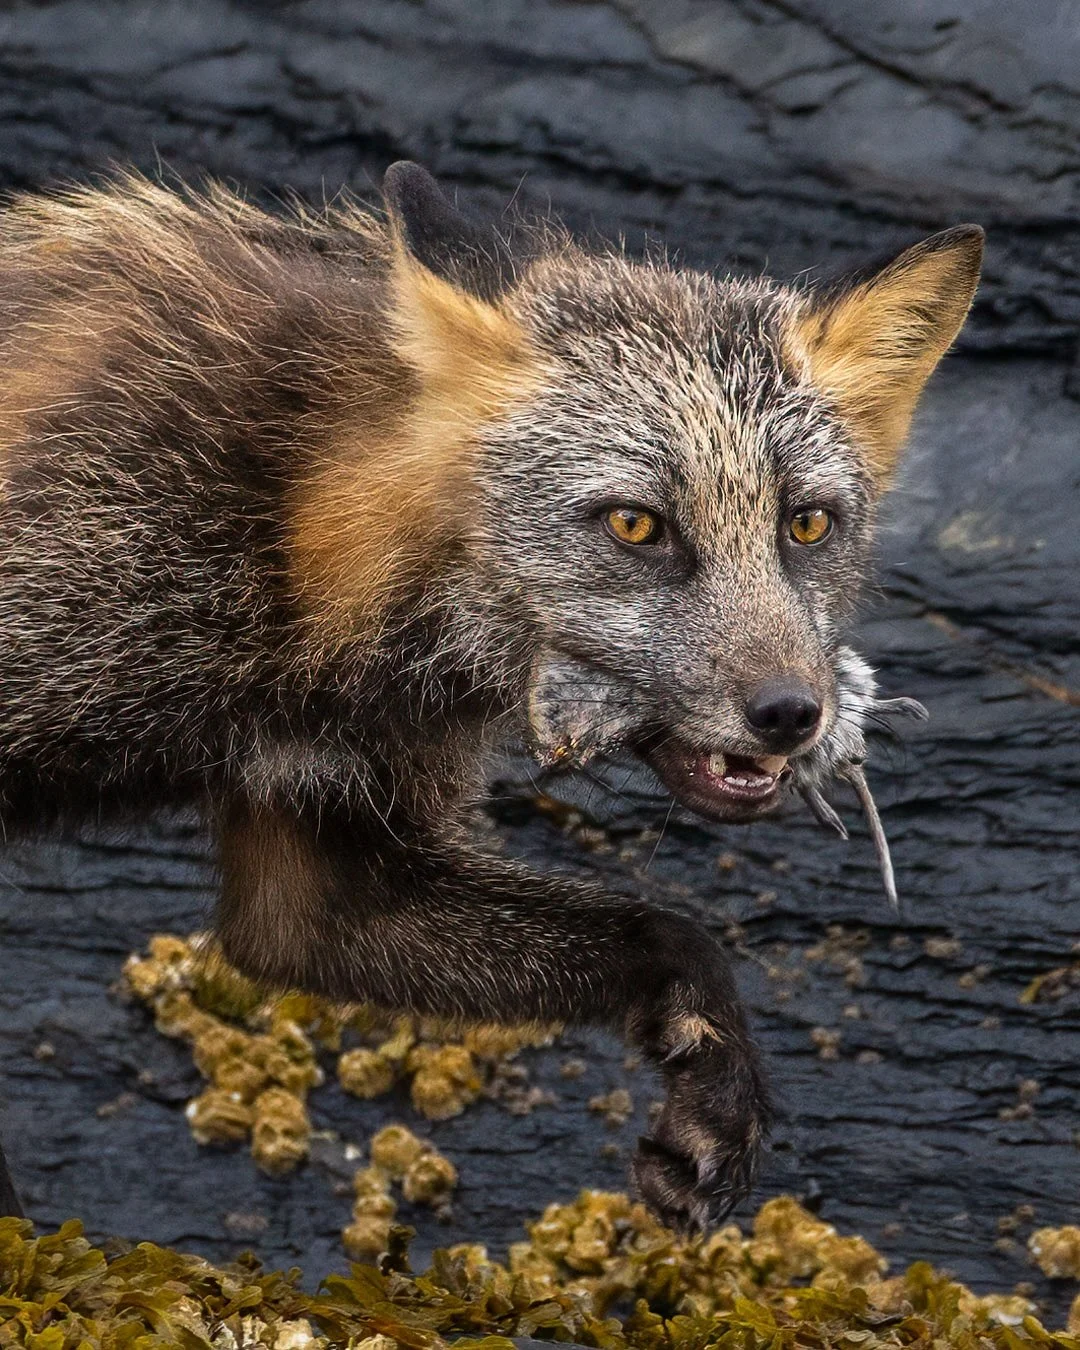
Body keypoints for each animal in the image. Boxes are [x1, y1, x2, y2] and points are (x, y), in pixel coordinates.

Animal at [0, 161, 982, 1231]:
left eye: (805, 525)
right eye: (637, 525)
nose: (792, 715)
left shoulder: (326, 851)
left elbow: (670, 934)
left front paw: (715, 1089)